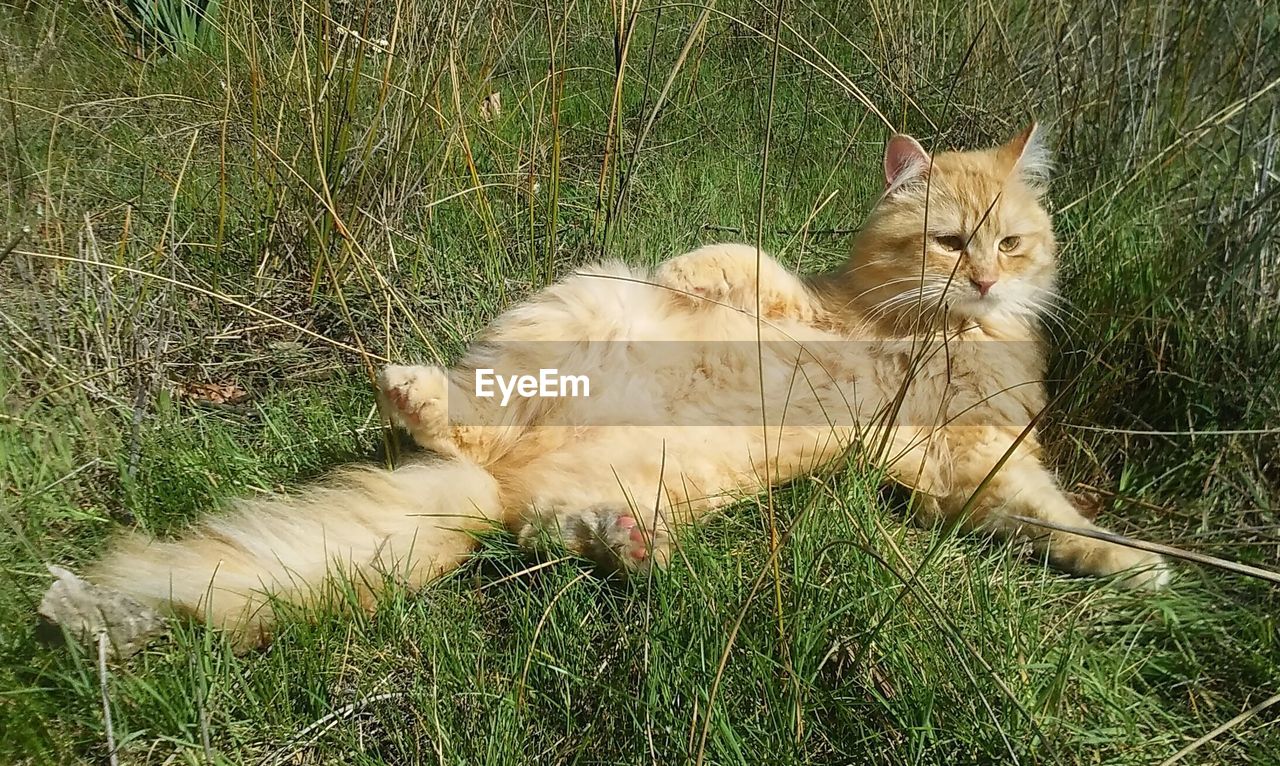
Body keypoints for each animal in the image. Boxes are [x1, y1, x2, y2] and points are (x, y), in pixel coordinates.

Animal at [47, 122, 1172, 650]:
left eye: (1009, 243)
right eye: (948, 241)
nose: (984, 279)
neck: (941, 334)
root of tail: (497, 487)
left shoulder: (973, 464)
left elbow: (1054, 519)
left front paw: (1141, 570)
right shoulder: (812, 303)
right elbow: (742, 262)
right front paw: (696, 278)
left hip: (623, 488)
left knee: (543, 528)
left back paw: (632, 547)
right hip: (557, 338)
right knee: (465, 427)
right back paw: (411, 391)